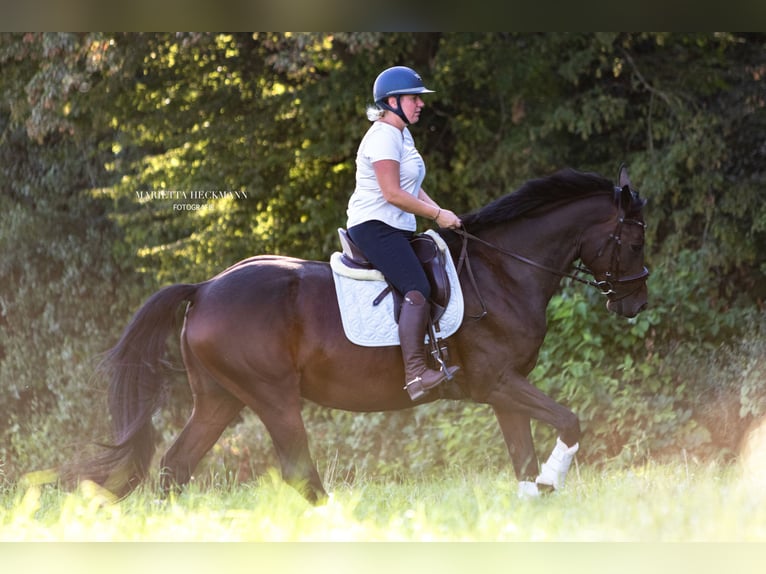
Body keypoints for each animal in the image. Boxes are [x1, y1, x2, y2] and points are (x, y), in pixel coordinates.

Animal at [83, 165, 648, 503]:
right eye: (635, 241)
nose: (636, 303)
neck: (502, 272)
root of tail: (203, 289)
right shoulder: (498, 383)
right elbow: (570, 422)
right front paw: (554, 479)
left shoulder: (504, 393)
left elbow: (523, 463)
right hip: (272, 396)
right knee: (300, 474)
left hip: (221, 399)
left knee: (175, 468)